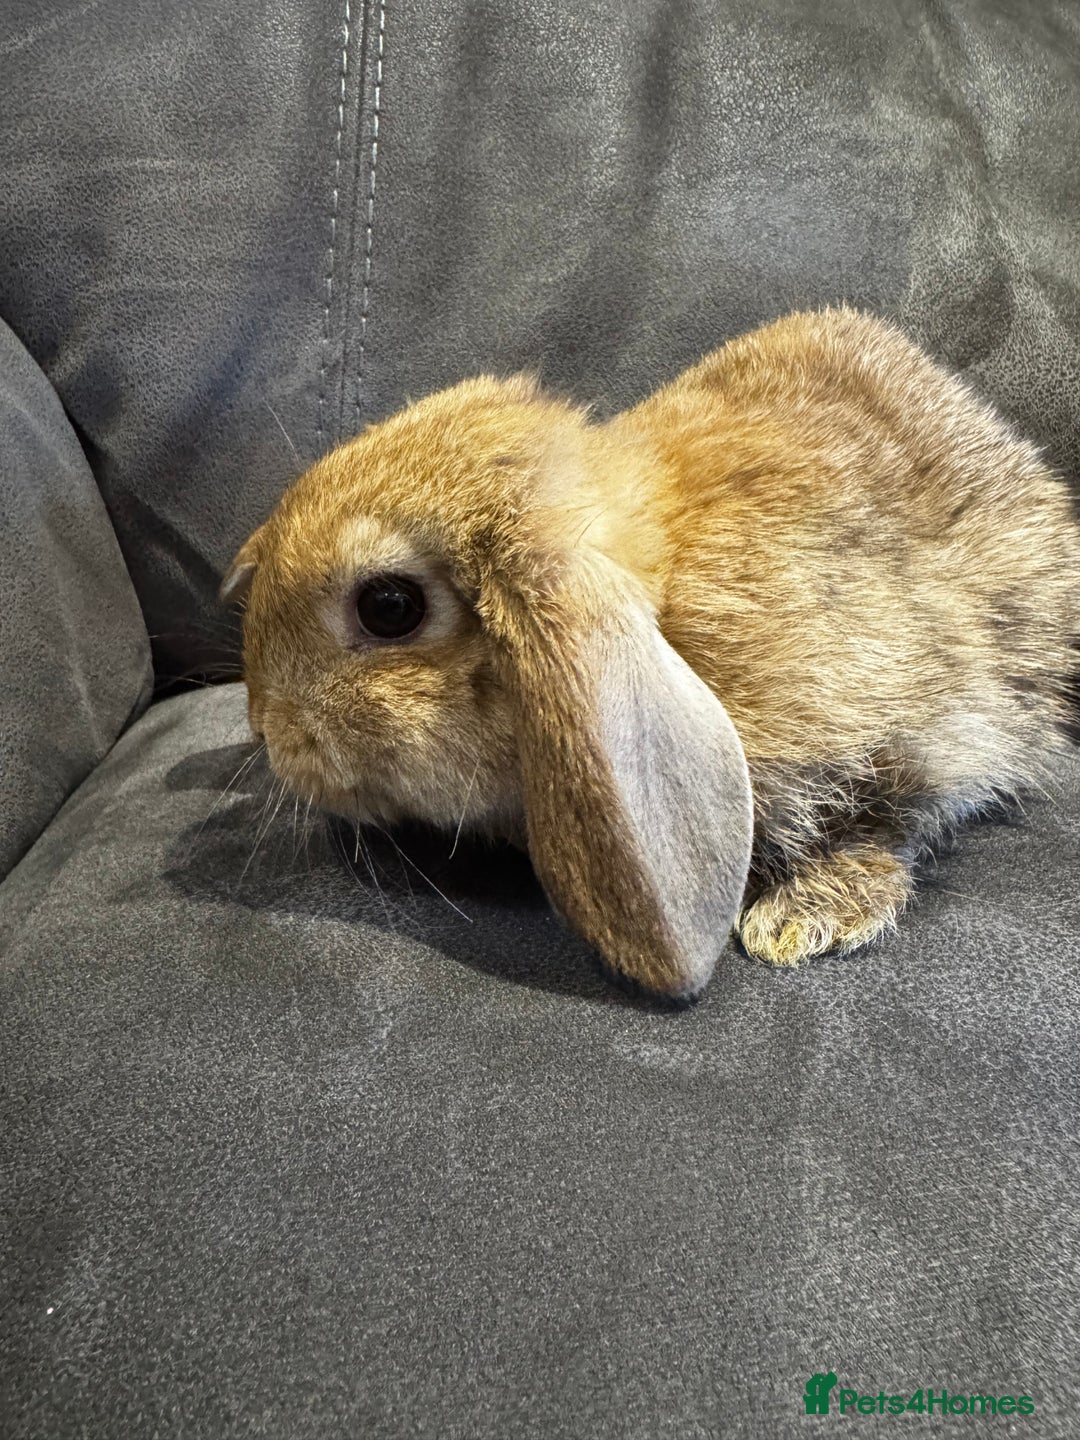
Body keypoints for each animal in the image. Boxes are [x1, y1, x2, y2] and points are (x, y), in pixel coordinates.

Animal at [223, 307, 1080, 999]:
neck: (668, 596)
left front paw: (799, 922)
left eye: (389, 607)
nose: (267, 728)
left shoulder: (919, 721)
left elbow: (891, 817)